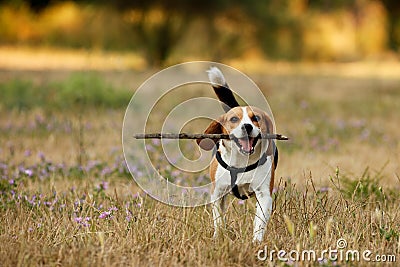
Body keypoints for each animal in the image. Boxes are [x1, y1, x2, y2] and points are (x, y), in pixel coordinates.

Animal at [197, 67, 278, 243]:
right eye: (234, 119)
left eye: (256, 118)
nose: (247, 127)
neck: (242, 161)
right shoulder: (217, 192)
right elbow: (219, 219)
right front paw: (219, 237)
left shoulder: (264, 194)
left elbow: (259, 222)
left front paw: (256, 242)